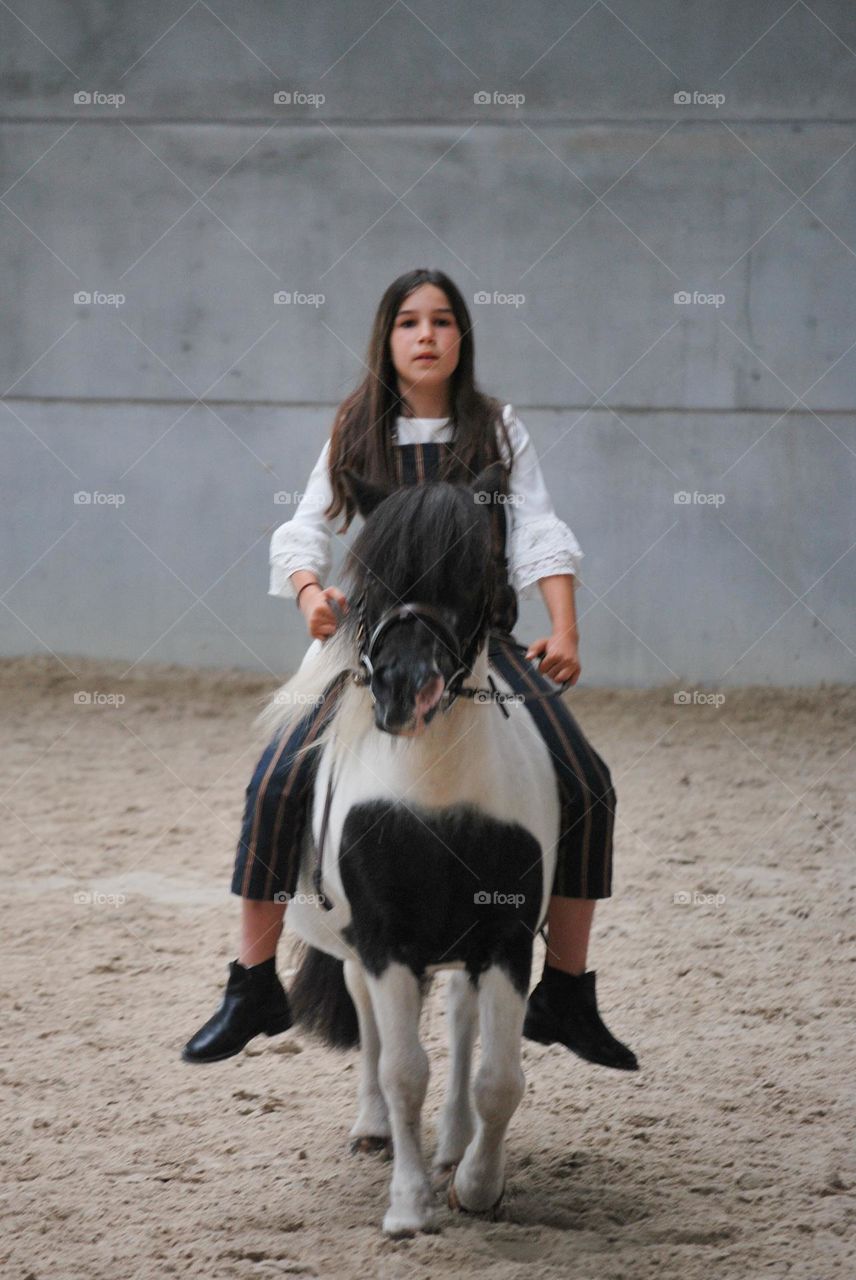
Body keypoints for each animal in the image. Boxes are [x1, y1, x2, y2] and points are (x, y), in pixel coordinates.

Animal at [262, 465, 560, 1233]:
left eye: (477, 573)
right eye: (368, 576)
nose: (404, 691)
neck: (436, 797)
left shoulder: (507, 937)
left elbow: (498, 1078)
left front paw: (477, 1188)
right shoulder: (383, 939)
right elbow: (402, 1070)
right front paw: (408, 1205)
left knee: (459, 1021)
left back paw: (454, 1144)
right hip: (356, 946)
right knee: (371, 1025)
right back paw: (374, 1130)